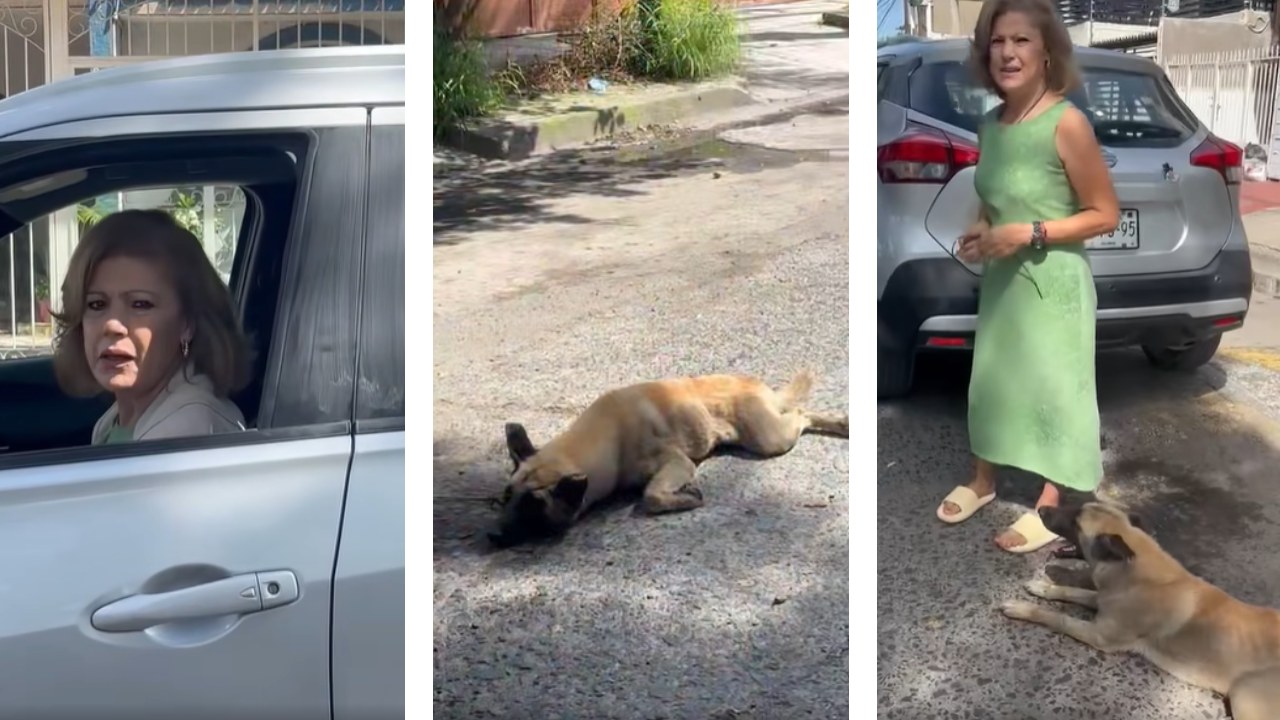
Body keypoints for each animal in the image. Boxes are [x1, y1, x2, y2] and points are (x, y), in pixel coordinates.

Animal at [488, 368, 849, 543]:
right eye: (505, 497)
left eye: (534, 505)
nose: (493, 535)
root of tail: (760, 387)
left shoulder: (677, 463)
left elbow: (650, 496)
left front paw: (683, 499)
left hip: (770, 440)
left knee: (801, 414)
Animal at [998, 499, 1280, 717]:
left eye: (1076, 521)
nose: (1042, 508)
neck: (1132, 566)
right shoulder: (1104, 602)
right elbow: (1073, 592)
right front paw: (1043, 588)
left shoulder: (1101, 636)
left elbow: (1058, 618)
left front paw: (1023, 608)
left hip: (1245, 696)